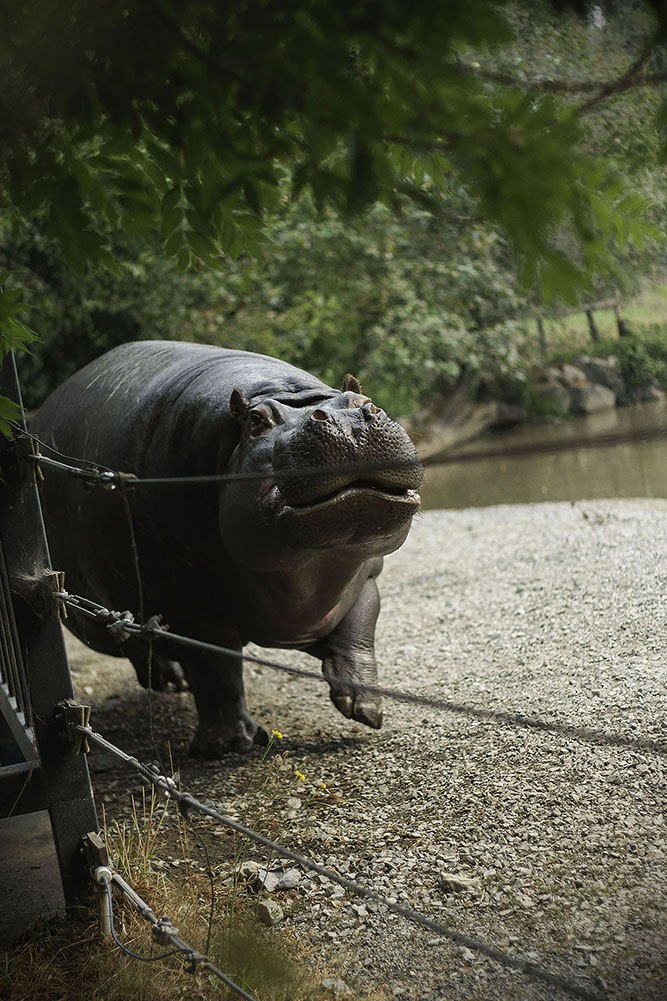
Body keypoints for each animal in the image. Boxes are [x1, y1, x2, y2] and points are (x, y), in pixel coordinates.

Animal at [31, 341, 422, 756]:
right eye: (256, 420)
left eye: (365, 400)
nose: (348, 419)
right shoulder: (194, 608)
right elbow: (216, 672)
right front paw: (231, 745)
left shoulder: (364, 577)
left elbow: (359, 630)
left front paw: (366, 709)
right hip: (103, 616)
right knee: (136, 646)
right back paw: (172, 683)